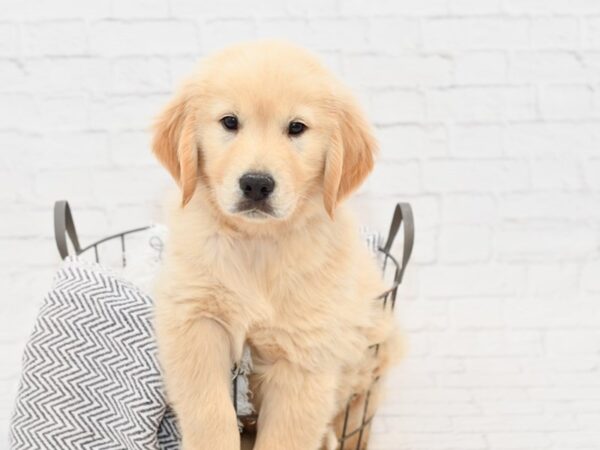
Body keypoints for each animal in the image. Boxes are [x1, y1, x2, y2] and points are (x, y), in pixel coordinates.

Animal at [152, 40, 400, 448]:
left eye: (296, 128)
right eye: (230, 122)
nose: (256, 184)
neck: (257, 245)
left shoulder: (305, 355)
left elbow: (286, 435)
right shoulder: (196, 321)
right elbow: (208, 412)